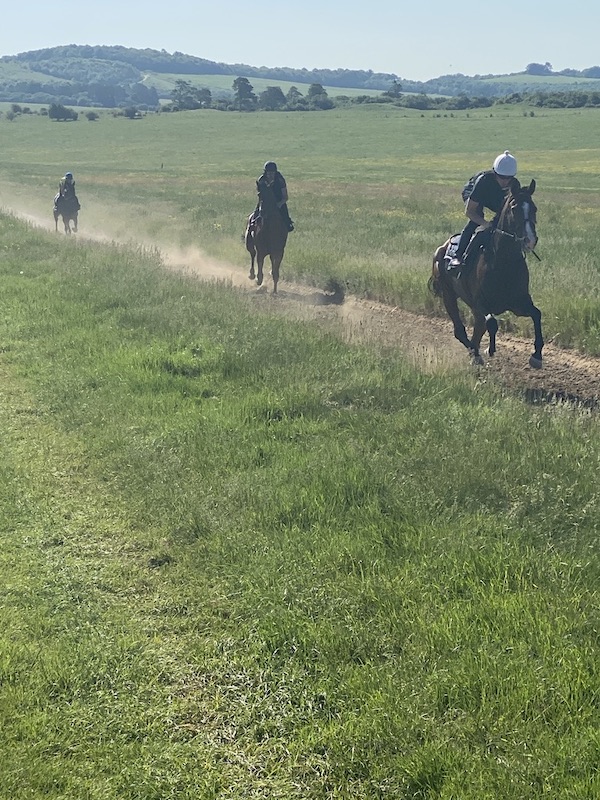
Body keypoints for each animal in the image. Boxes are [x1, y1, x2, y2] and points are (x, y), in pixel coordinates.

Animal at [426, 178, 544, 368]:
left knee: (477, 328)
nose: (530, 240)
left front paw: (537, 356)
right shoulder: (480, 302)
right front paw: (490, 349)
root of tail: (442, 247)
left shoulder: (518, 303)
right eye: (514, 208)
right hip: (448, 295)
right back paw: (474, 352)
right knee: (460, 330)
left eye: (534, 208)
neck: (504, 263)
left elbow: (537, 314)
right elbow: (492, 322)